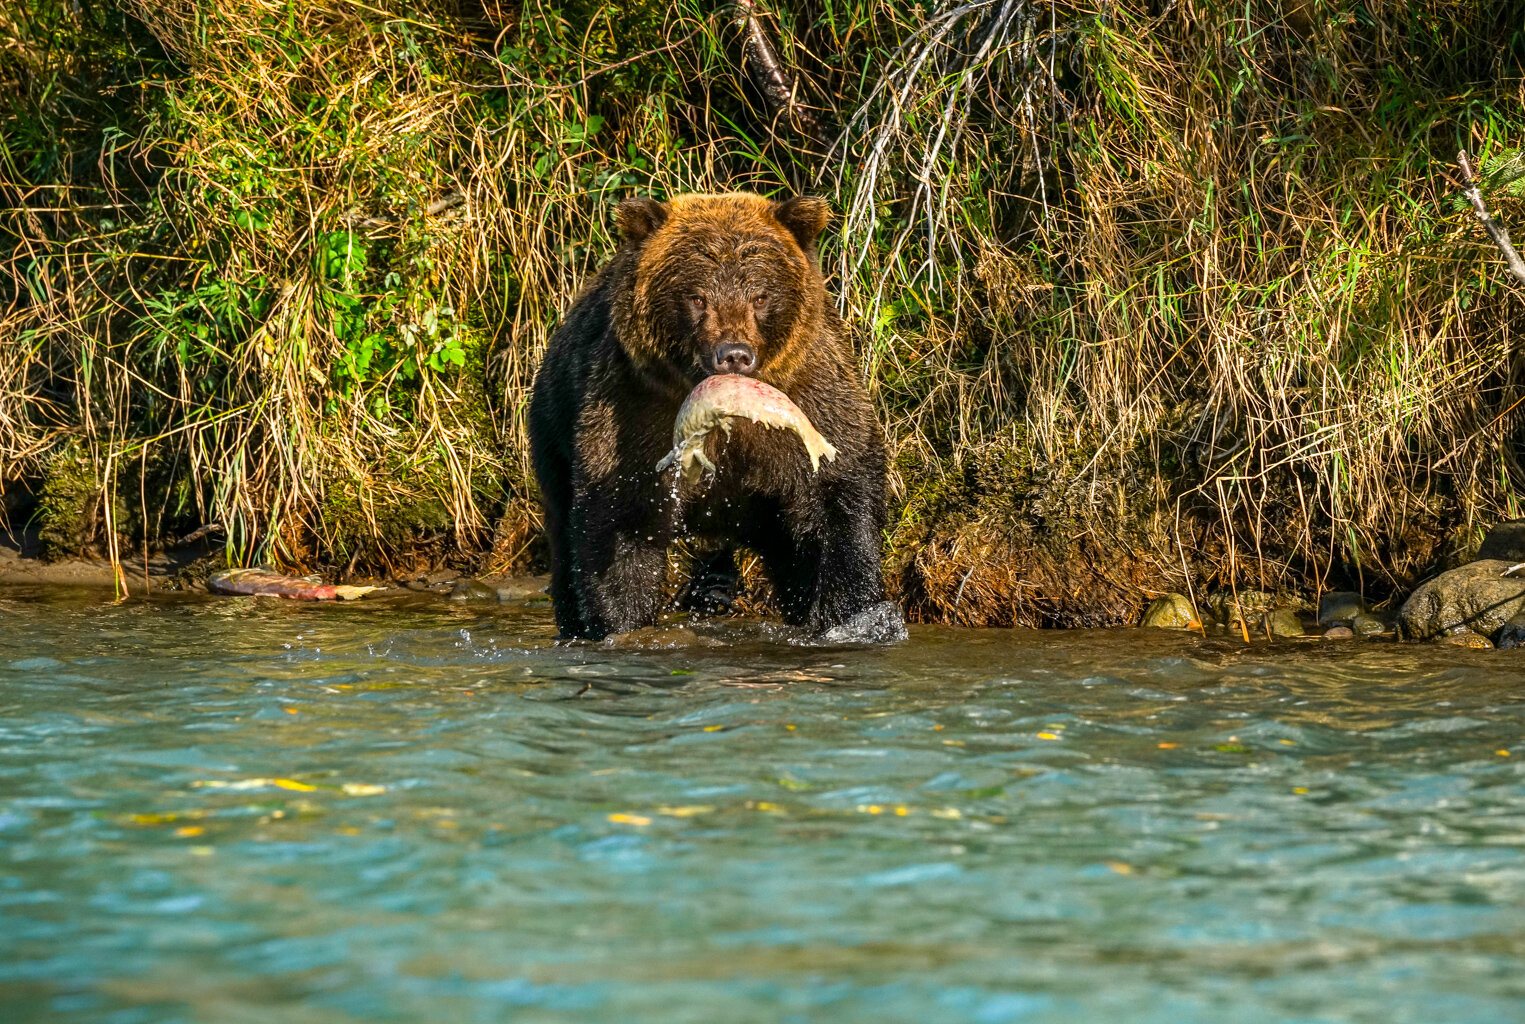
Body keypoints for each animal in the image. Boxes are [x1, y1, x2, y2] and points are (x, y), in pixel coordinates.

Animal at [533, 189, 890, 640]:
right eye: (697, 297)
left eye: (760, 295)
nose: (734, 354)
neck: (732, 414)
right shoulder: (632, 411)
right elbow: (619, 522)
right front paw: (622, 622)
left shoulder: (812, 399)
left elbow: (840, 501)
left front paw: (853, 615)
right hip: (553, 434)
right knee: (564, 542)